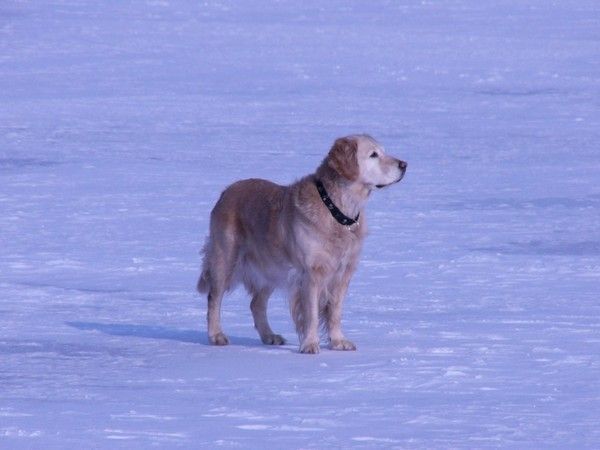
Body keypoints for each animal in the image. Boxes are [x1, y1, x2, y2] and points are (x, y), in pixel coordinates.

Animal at [198, 135, 408, 354]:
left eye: (383, 151)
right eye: (373, 155)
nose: (404, 165)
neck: (335, 209)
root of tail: (226, 192)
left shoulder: (343, 273)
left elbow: (335, 312)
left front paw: (338, 341)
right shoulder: (310, 273)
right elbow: (312, 313)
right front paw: (310, 344)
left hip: (272, 268)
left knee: (256, 304)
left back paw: (269, 336)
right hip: (225, 259)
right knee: (214, 298)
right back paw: (216, 335)